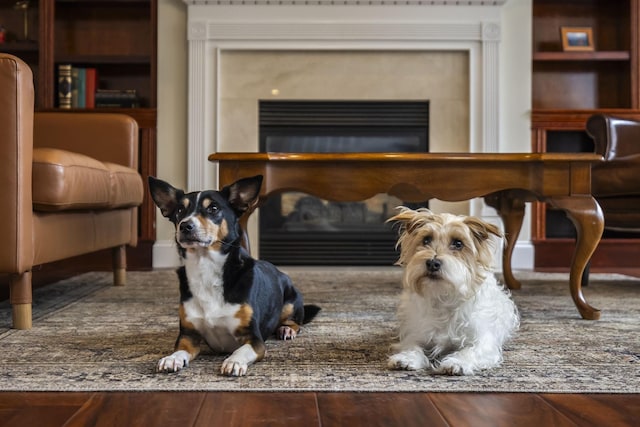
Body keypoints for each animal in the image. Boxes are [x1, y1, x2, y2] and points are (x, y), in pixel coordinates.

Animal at [149, 176, 320, 376]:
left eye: (213, 208)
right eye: (180, 210)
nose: (185, 225)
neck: (206, 268)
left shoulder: (254, 338)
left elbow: (241, 350)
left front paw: (234, 361)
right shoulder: (188, 335)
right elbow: (180, 349)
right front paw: (171, 358)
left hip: (292, 300)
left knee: (295, 321)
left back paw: (286, 329)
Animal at [384, 209, 520, 376]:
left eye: (458, 243)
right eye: (426, 240)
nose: (432, 263)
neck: (443, 296)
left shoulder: (483, 342)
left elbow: (469, 351)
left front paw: (457, 363)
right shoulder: (415, 334)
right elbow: (413, 346)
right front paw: (406, 358)